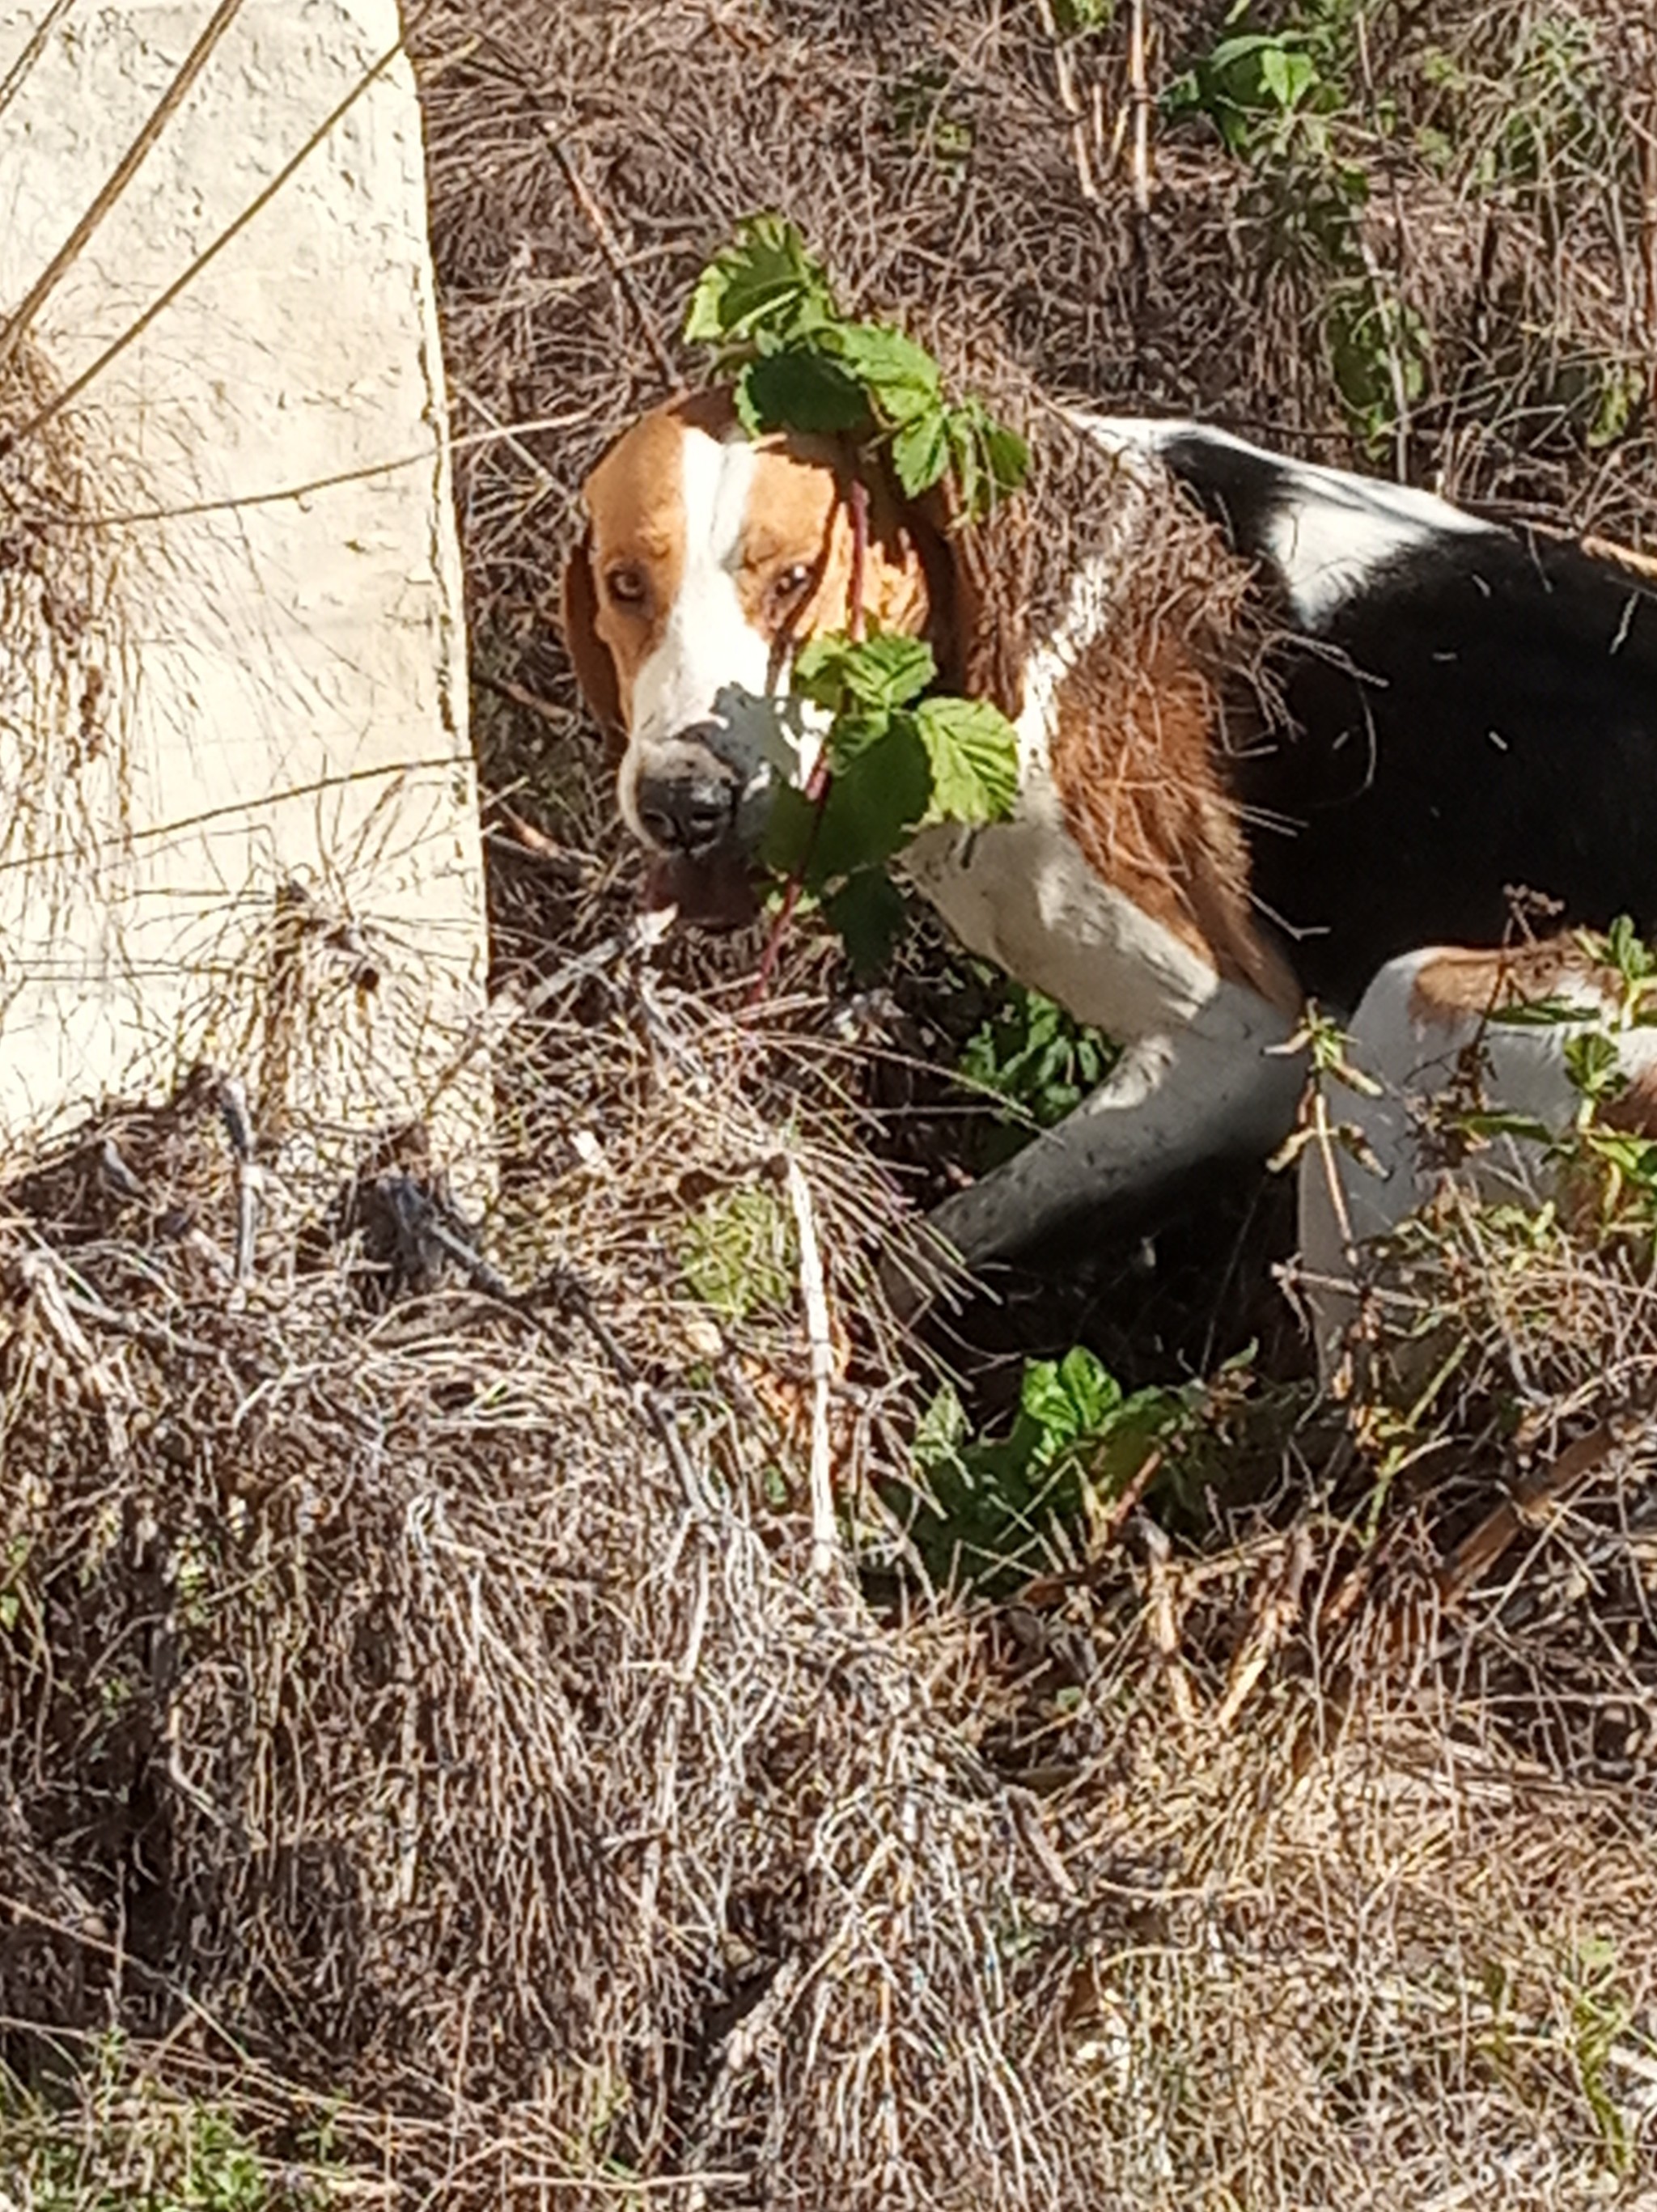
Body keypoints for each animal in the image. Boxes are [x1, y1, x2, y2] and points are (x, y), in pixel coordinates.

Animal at [559, 384, 1655, 1309]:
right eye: (623, 585)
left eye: (796, 579)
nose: (683, 803)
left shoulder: (1235, 1049)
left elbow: (936, 1246)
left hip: (1407, 1019)